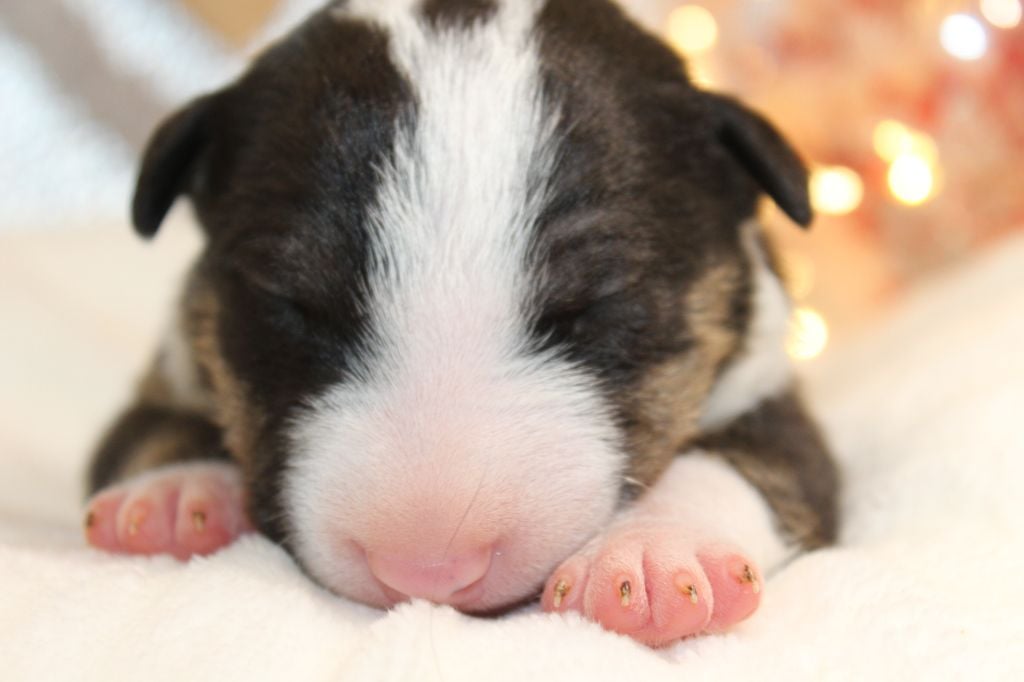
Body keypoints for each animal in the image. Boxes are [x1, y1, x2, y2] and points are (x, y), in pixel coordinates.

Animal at [84, 0, 838, 647]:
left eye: (595, 305)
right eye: (291, 305)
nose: (428, 571)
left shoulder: (772, 390)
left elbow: (750, 464)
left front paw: (651, 556)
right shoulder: (172, 363)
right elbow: (146, 429)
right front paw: (172, 492)